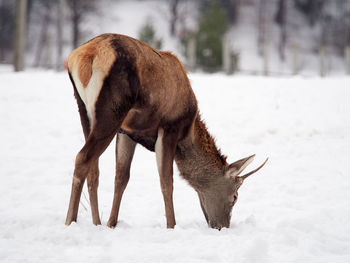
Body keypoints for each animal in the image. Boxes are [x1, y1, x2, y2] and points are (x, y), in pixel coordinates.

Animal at [65, 33, 268, 231]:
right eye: (235, 196)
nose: (222, 226)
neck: (188, 132)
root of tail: (86, 55)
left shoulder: (127, 132)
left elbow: (121, 177)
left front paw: (111, 224)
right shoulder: (170, 127)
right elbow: (166, 181)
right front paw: (172, 225)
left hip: (84, 110)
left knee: (93, 170)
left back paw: (96, 223)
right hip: (112, 111)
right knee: (82, 158)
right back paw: (70, 221)